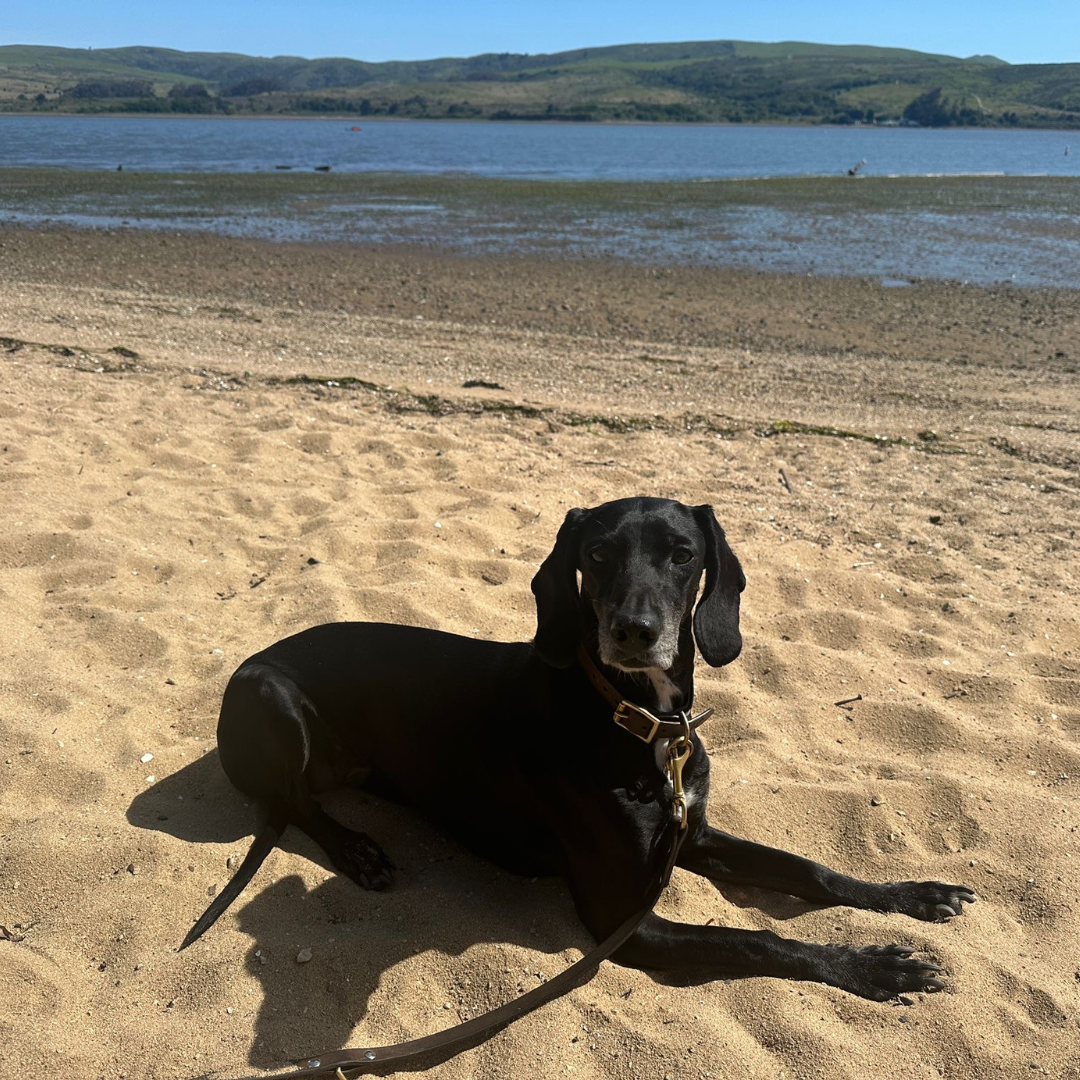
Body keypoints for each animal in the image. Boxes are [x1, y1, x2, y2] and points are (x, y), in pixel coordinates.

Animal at [181, 496, 976, 1002]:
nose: (634, 632)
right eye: (596, 553)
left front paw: (912, 896)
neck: (640, 724)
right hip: (272, 699)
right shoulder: (625, 921)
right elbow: (752, 939)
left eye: (683, 555)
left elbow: (808, 868)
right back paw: (358, 850)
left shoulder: (694, 832)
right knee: (293, 801)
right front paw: (874, 969)